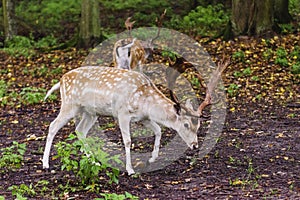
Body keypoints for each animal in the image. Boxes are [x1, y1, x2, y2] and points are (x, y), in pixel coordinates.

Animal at [42, 66, 202, 175]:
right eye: (186, 124)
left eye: (199, 125)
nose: (195, 145)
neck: (145, 102)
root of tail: (61, 80)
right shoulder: (122, 113)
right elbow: (128, 141)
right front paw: (130, 169)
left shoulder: (143, 117)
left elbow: (158, 130)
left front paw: (152, 158)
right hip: (69, 104)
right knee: (53, 126)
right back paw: (45, 164)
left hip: (91, 112)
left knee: (80, 130)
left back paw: (93, 160)